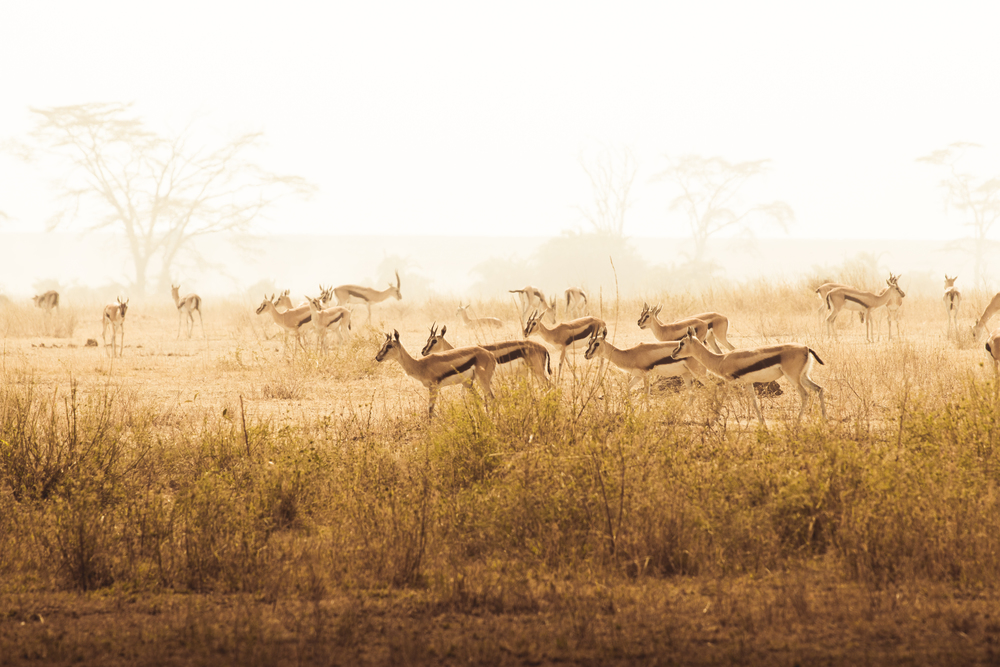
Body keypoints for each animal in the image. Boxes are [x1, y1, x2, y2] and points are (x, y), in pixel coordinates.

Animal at [672, 328, 828, 426]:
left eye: (682, 343)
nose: (673, 354)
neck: (721, 359)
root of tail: (805, 348)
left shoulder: (730, 382)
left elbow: (722, 399)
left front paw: (713, 420)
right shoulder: (748, 383)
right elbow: (754, 402)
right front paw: (762, 423)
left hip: (793, 378)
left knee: (805, 394)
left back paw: (797, 423)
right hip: (804, 377)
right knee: (819, 389)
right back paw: (824, 419)